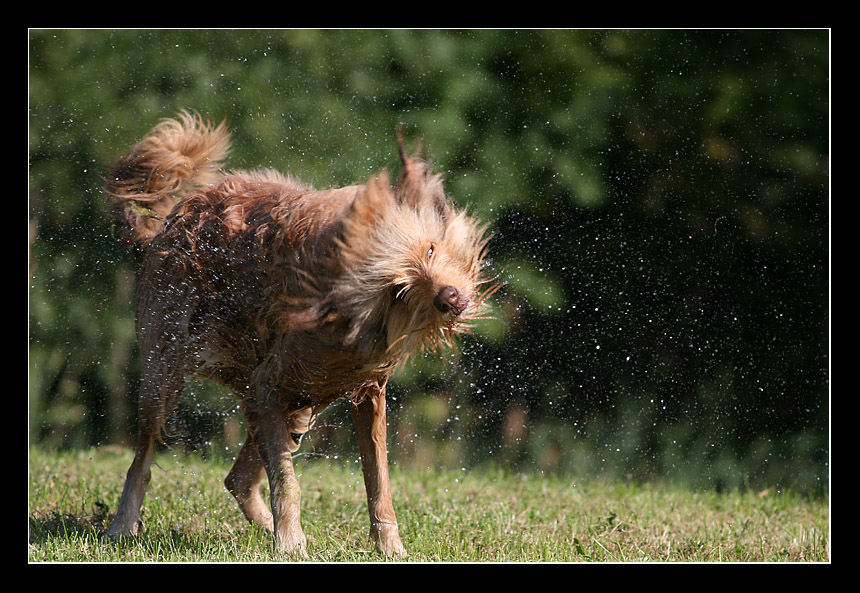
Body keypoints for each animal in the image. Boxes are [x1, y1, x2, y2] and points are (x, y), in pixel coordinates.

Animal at [102, 110, 490, 556]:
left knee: (238, 477)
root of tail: (166, 226)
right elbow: (286, 483)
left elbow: (379, 483)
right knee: (144, 456)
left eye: (430, 249)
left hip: (295, 407)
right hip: (164, 373)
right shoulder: (270, 383)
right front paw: (290, 544)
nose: (450, 298)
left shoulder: (367, 392)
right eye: (399, 290)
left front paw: (390, 548)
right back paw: (123, 524)